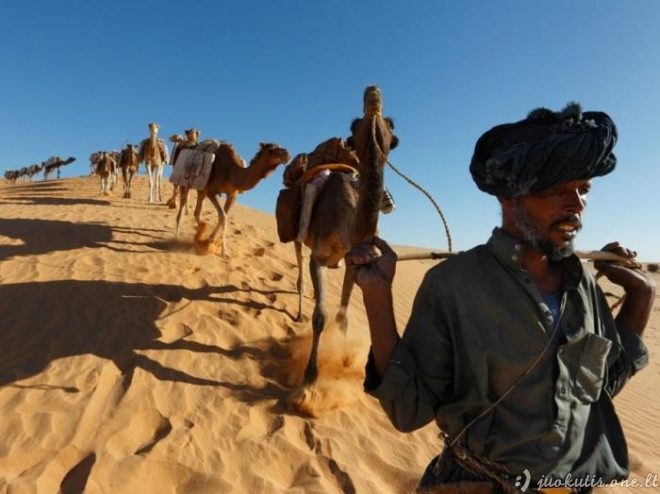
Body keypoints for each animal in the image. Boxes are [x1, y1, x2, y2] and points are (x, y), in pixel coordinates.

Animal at [298, 86, 398, 386]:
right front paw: (310, 375)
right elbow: (320, 317)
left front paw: (343, 361)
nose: (374, 93)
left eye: (392, 127)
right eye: (354, 126)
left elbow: (342, 317)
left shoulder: (354, 260)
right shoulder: (317, 256)